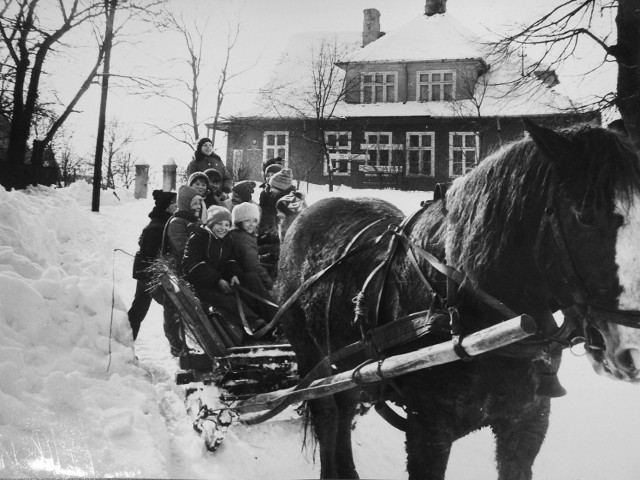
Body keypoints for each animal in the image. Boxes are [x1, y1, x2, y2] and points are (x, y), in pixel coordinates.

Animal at [276, 121, 640, 480]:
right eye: (585, 216)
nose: (632, 349)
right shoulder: (429, 427)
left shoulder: (527, 419)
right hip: (308, 350)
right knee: (326, 412)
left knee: (346, 403)